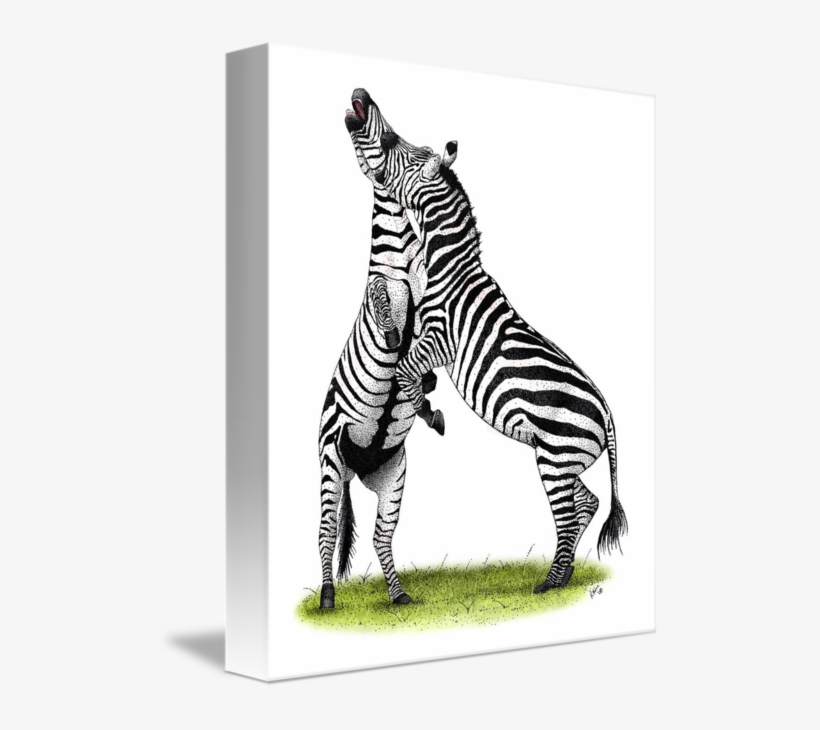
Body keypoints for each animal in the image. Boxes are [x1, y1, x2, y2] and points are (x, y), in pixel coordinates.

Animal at [316, 100, 447, 608]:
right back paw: (327, 598)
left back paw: (398, 596)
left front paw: (427, 388)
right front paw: (393, 339)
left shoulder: (431, 295)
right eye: (390, 140)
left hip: (392, 476)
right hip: (330, 463)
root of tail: (358, 471)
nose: (358, 93)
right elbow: (377, 296)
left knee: (380, 537)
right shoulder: (378, 291)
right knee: (326, 533)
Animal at [346, 89, 627, 593]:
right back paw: (564, 573)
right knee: (587, 502)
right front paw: (426, 403)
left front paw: (428, 411)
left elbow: (406, 370)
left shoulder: (438, 339)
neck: (449, 268)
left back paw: (551, 582)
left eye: (396, 144)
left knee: (569, 513)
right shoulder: (424, 338)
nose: (360, 96)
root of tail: (609, 418)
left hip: (555, 456)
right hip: (561, 457)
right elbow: (404, 365)